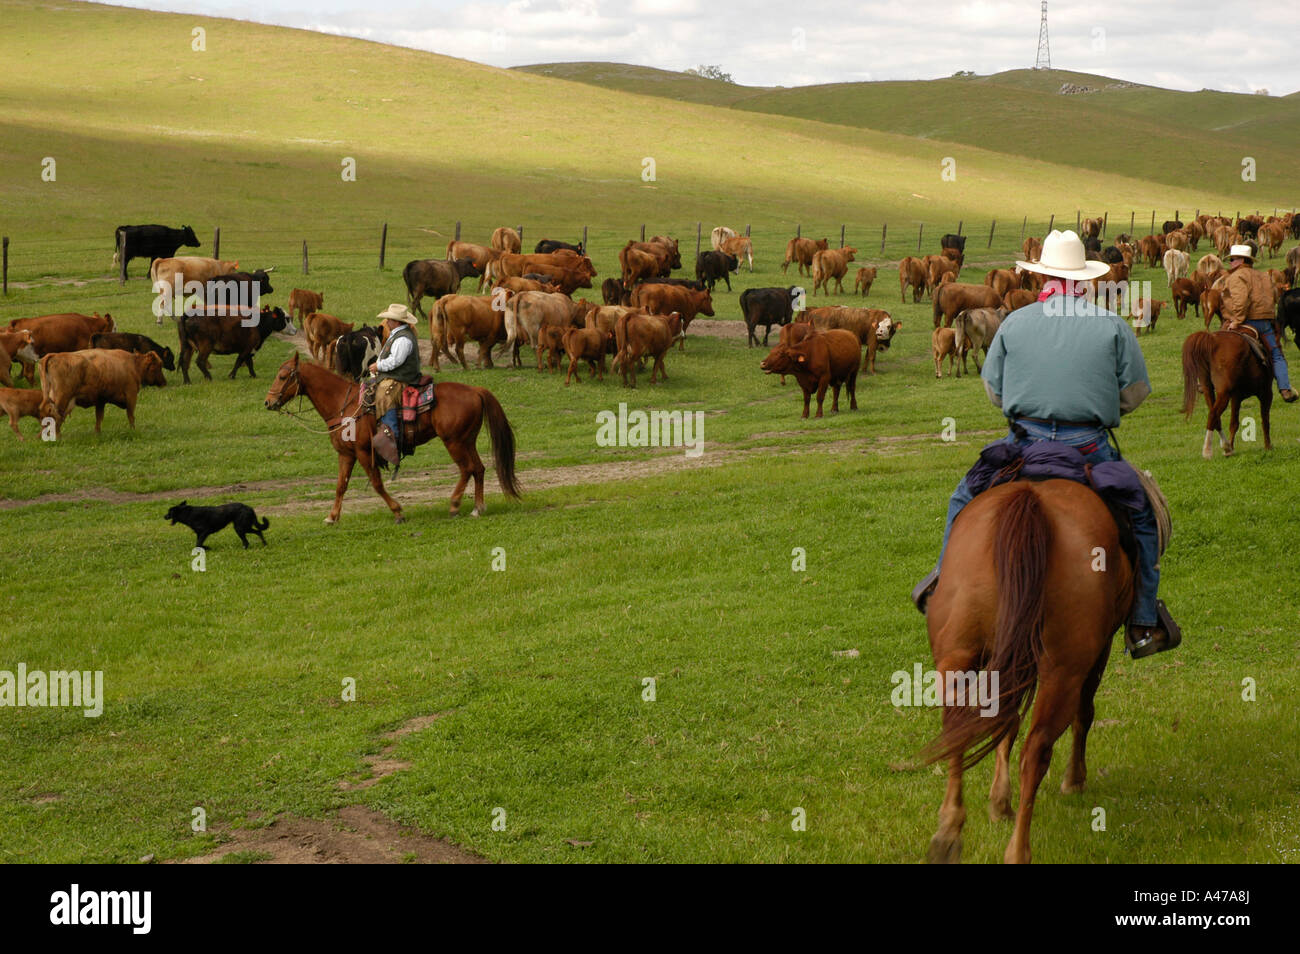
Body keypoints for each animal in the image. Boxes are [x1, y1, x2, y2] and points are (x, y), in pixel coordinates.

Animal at [37, 348, 165, 434]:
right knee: (55, 415)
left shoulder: (100, 401)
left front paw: (97, 433)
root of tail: (54, 356)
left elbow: (99, 418)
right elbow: (131, 416)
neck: (133, 364)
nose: (164, 382)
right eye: (158, 365)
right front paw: (133, 430)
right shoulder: (131, 396)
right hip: (62, 398)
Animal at [262, 350, 517, 522]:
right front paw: (332, 517)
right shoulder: (346, 454)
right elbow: (340, 486)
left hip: (454, 442)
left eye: (283, 376)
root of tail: (475, 390)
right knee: (479, 469)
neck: (344, 405)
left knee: (467, 469)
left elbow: (376, 483)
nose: (268, 402)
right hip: (467, 441)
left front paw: (397, 511)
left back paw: (455, 506)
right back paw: (477, 508)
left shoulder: (364, 452)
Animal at [930, 480, 1133, 863]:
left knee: (957, 728)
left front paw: (999, 801)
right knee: (1037, 749)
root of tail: (1030, 498)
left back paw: (947, 833)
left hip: (957, 655)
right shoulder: (1099, 650)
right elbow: (1084, 713)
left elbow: (1005, 722)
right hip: (1065, 672)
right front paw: (1074, 780)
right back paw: (1018, 849)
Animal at [1180, 332, 1268, 460]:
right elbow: (1264, 420)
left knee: (1214, 416)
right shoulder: (1265, 392)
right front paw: (1268, 446)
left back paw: (1225, 447)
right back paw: (1209, 451)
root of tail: (1212, 339)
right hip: (1224, 394)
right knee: (1213, 414)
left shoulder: (1236, 396)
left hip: (1209, 389)